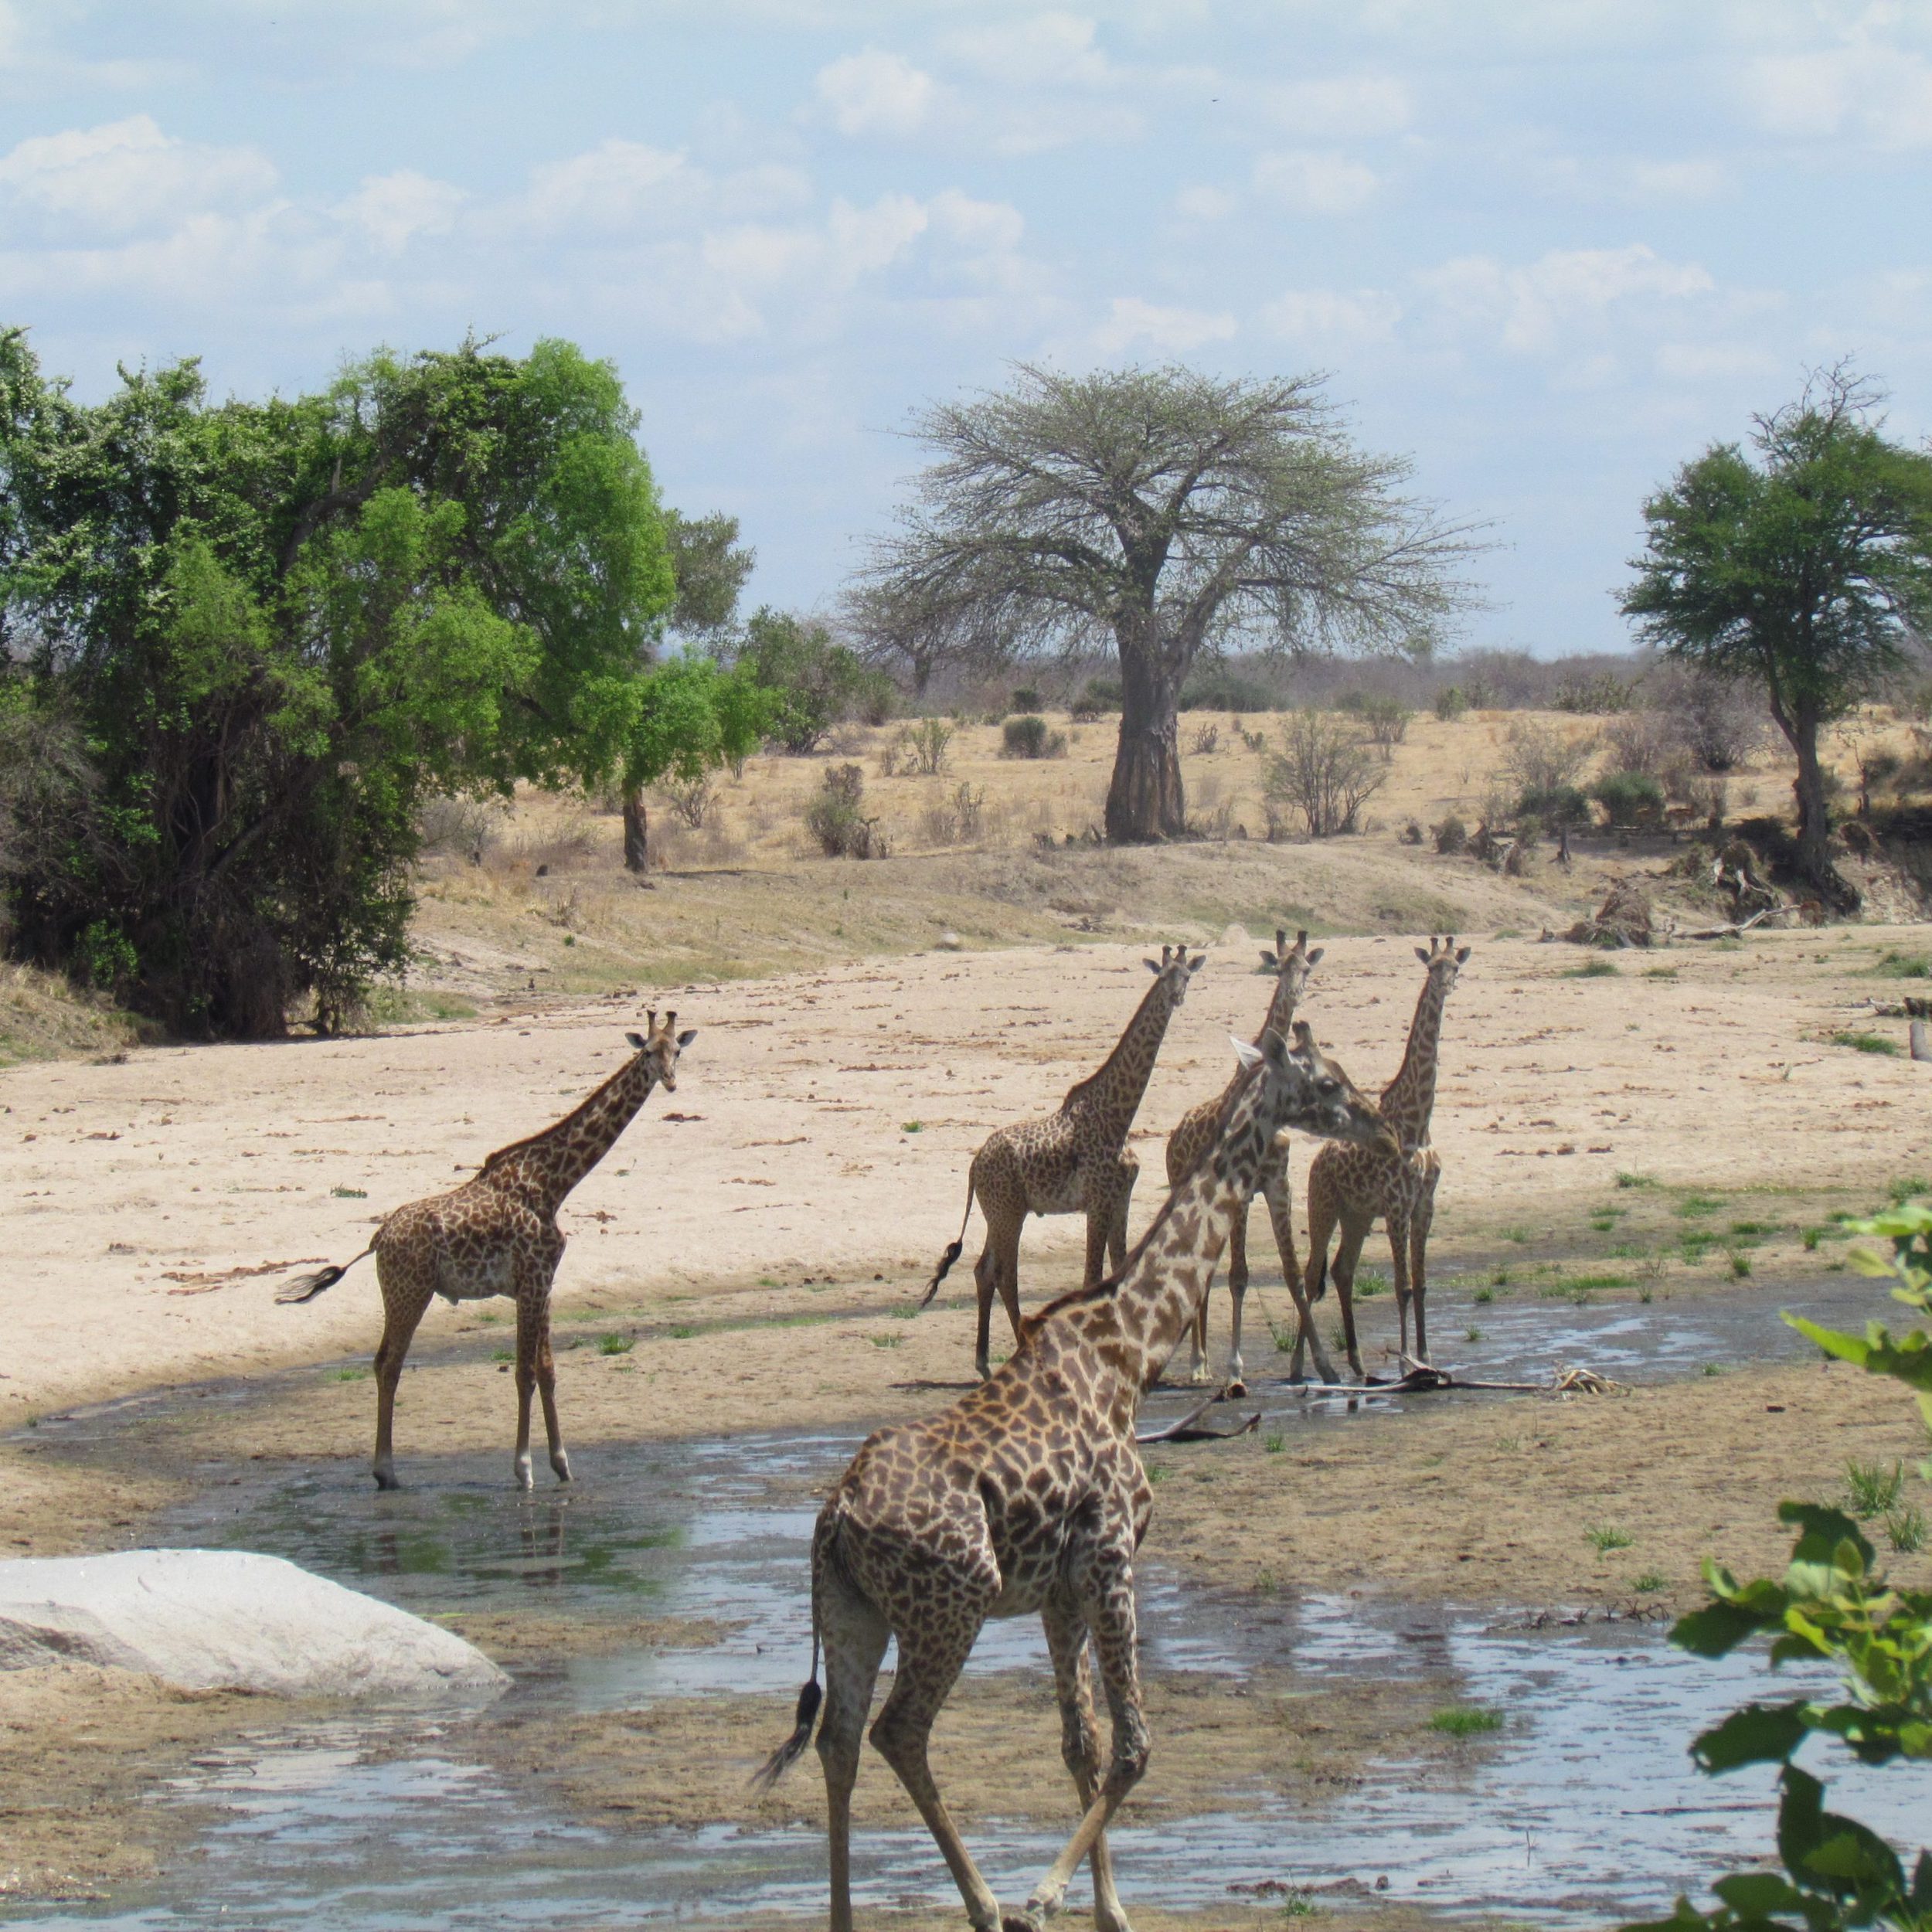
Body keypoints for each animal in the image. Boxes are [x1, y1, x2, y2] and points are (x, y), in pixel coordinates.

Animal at [272, 1012, 696, 1492]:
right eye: (648, 1052)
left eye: (677, 1051)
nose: (670, 1081)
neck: (553, 1183)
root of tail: (377, 1238)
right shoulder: (531, 1281)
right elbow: (524, 1372)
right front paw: (524, 1470)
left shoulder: (543, 1283)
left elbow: (547, 1370)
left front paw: (562, 1465)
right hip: (408, 1293)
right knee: (388, 1363)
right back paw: (387, 1471)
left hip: (405, 1293)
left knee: (386, 1362)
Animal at [746, 1020, 1399, 1924]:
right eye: (1329, 1081)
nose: (1386, 1132)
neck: (1131, 1351)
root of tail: (833, 1519)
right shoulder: (1111, 1556)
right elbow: (1133, 1746)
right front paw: (1047, 1896)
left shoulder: (1058, 1587)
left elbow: (1080, 1743)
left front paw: (1109, 1909)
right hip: (955, 1604)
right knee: (897, 1732)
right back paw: (987, 1904)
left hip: (856, 1613)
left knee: (840, 1741)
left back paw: (855, 1916)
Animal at [923, 947, 1206, 1383]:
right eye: (1164, 977)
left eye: (1187, 976)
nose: (1176, 997)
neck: (1118, 1116)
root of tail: (974, 1165)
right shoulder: (1098, 1201)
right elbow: (1093, 1275)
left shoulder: (1120, 1200)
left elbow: (1119, 1268)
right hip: (1009, 1214)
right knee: (1005, 1274)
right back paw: (1024, 1354)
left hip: (999, 1213)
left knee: (984, 1270)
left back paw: (985, 1363)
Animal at [1159, 927, 1329, 1399]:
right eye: (1279, 966)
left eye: (1306, 968)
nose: (1295, 991)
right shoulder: (1240, 1189)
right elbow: (1238, 1276)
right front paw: (1235, 1371)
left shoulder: (1276, 1185)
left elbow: (1293, 1273)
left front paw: (1317, 1366)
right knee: (1203, 1274)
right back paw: (1199, 1364)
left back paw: (1201, 1364)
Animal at [1291, 939, 1468, 1383]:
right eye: (1433, 967)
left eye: (1456, 966)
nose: (1446, 985)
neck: (1418, 1123)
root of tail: (1317, 1161)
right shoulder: (1397, 1206)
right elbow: (1401, 1286)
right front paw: (1407, 1362)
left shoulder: (1423, 1205)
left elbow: (1420, 1284)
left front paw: (1426, 1357)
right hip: (1324, 1206)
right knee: (1311, 1273)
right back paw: (1300, 1366)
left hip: (1357, 1215)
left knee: (1342, 1269)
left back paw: (1356, 1362)